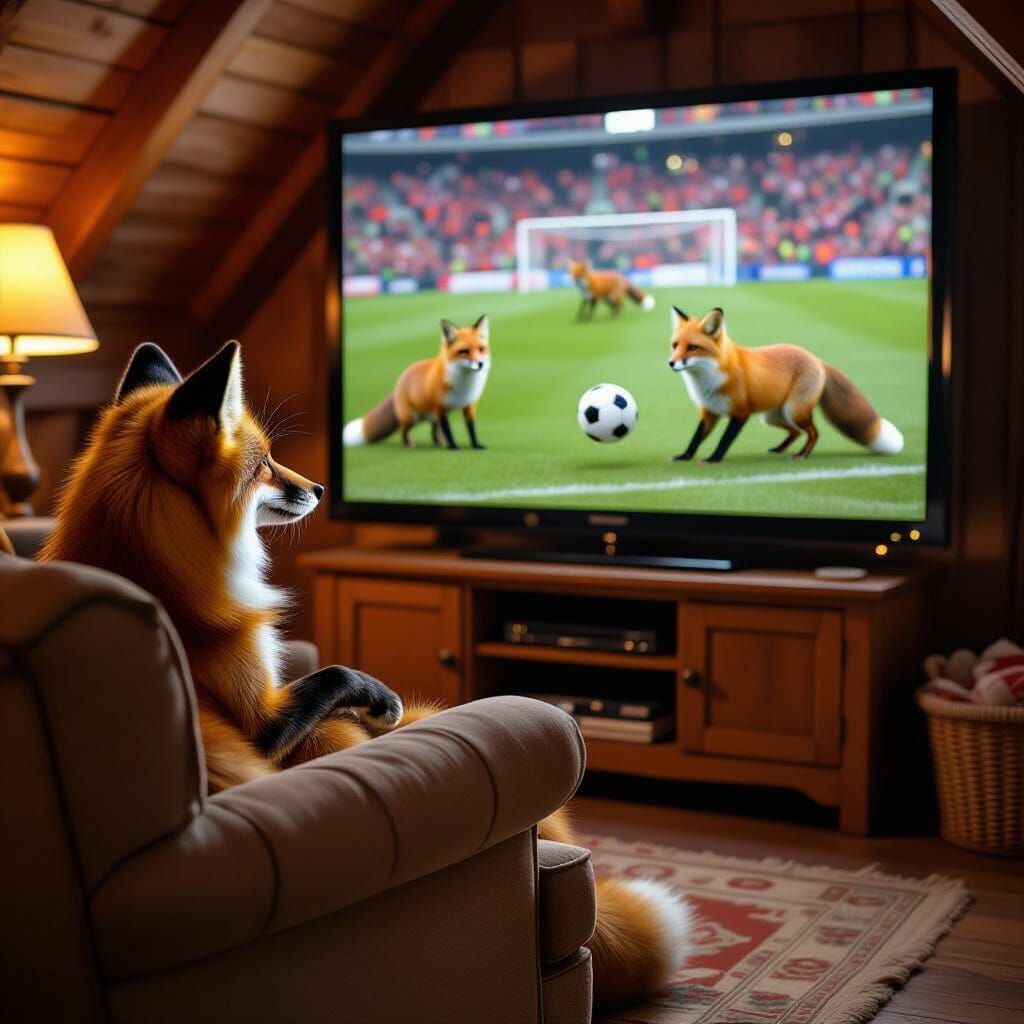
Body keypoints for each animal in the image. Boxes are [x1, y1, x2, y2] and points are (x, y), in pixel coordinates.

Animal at [42, 340, 692, 1015]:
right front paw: (379, 697)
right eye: (265, 464)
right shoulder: (264, 722)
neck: (161, 581)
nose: (321, 485)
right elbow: (335, 673)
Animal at [344, 315, 489, 450]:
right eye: (464, 351)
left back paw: (440, 443)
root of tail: (400, 379)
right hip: (411, 418)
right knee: (403, 431)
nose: (480, 364)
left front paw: (475, 445)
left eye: (481, 349)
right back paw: (409, 444)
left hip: (432, 416)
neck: (465, 384)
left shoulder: (469, 405)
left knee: (434, 431)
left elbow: (471, 429)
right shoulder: (440, 407)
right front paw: (453, 447)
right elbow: (448, 431)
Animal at [667, 305, 904, 463]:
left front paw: (714, 459)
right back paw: (779, 449)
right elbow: (696, 438)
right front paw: (685, 456)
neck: (710, 378)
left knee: (813, 433)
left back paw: (802, 454)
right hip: (773, 416)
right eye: (675, 345)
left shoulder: (741, 412)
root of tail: (816, 358)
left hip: (794, 410)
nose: (671, 363)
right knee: (795, 432)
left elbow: (725, 440)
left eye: (693, 347)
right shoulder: (710, 411)